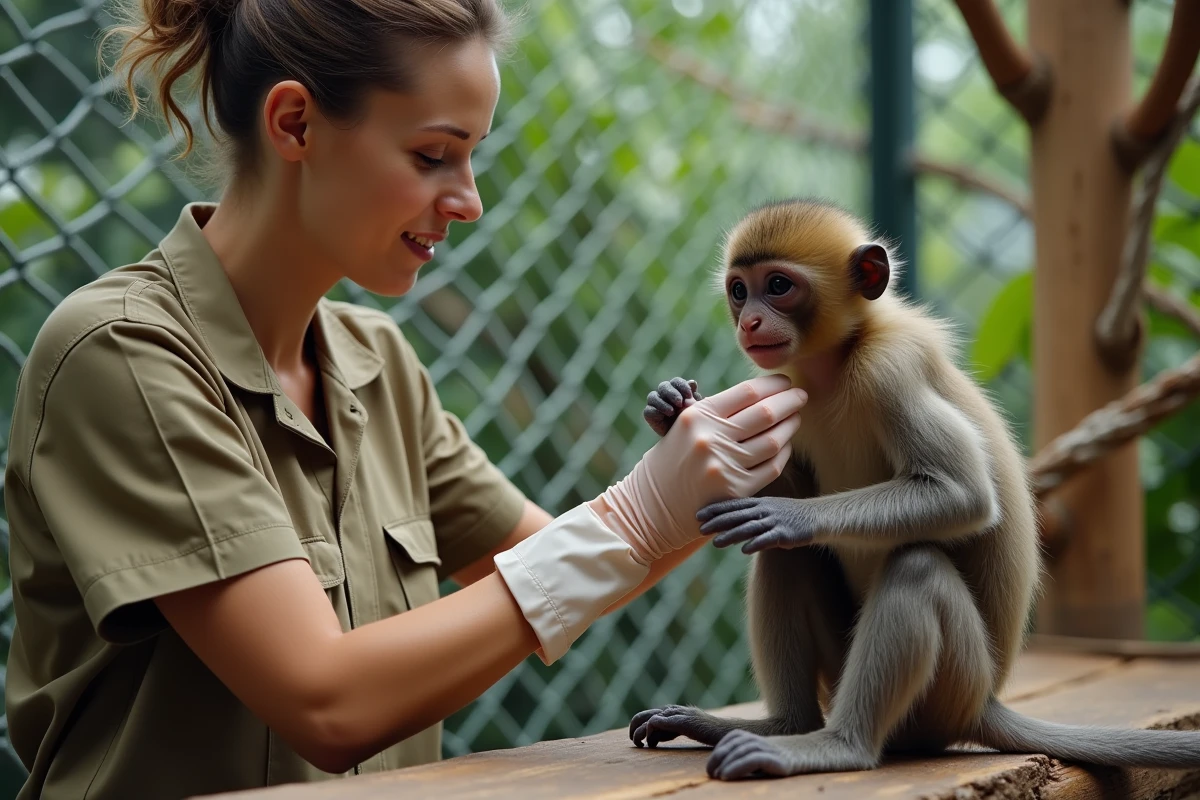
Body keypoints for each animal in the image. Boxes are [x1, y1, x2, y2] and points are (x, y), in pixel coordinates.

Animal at [629, 198, 1200, 781]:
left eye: (779, 285)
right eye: (740, 291)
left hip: (949, 690)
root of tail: (984, 703)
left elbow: (964, 494)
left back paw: (837, 745)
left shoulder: (890, 367)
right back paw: (781, 725)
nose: (750, 321)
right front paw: (672, 407)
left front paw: (789, 514)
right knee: (786, 557)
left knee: (915, 566)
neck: (838, 361)